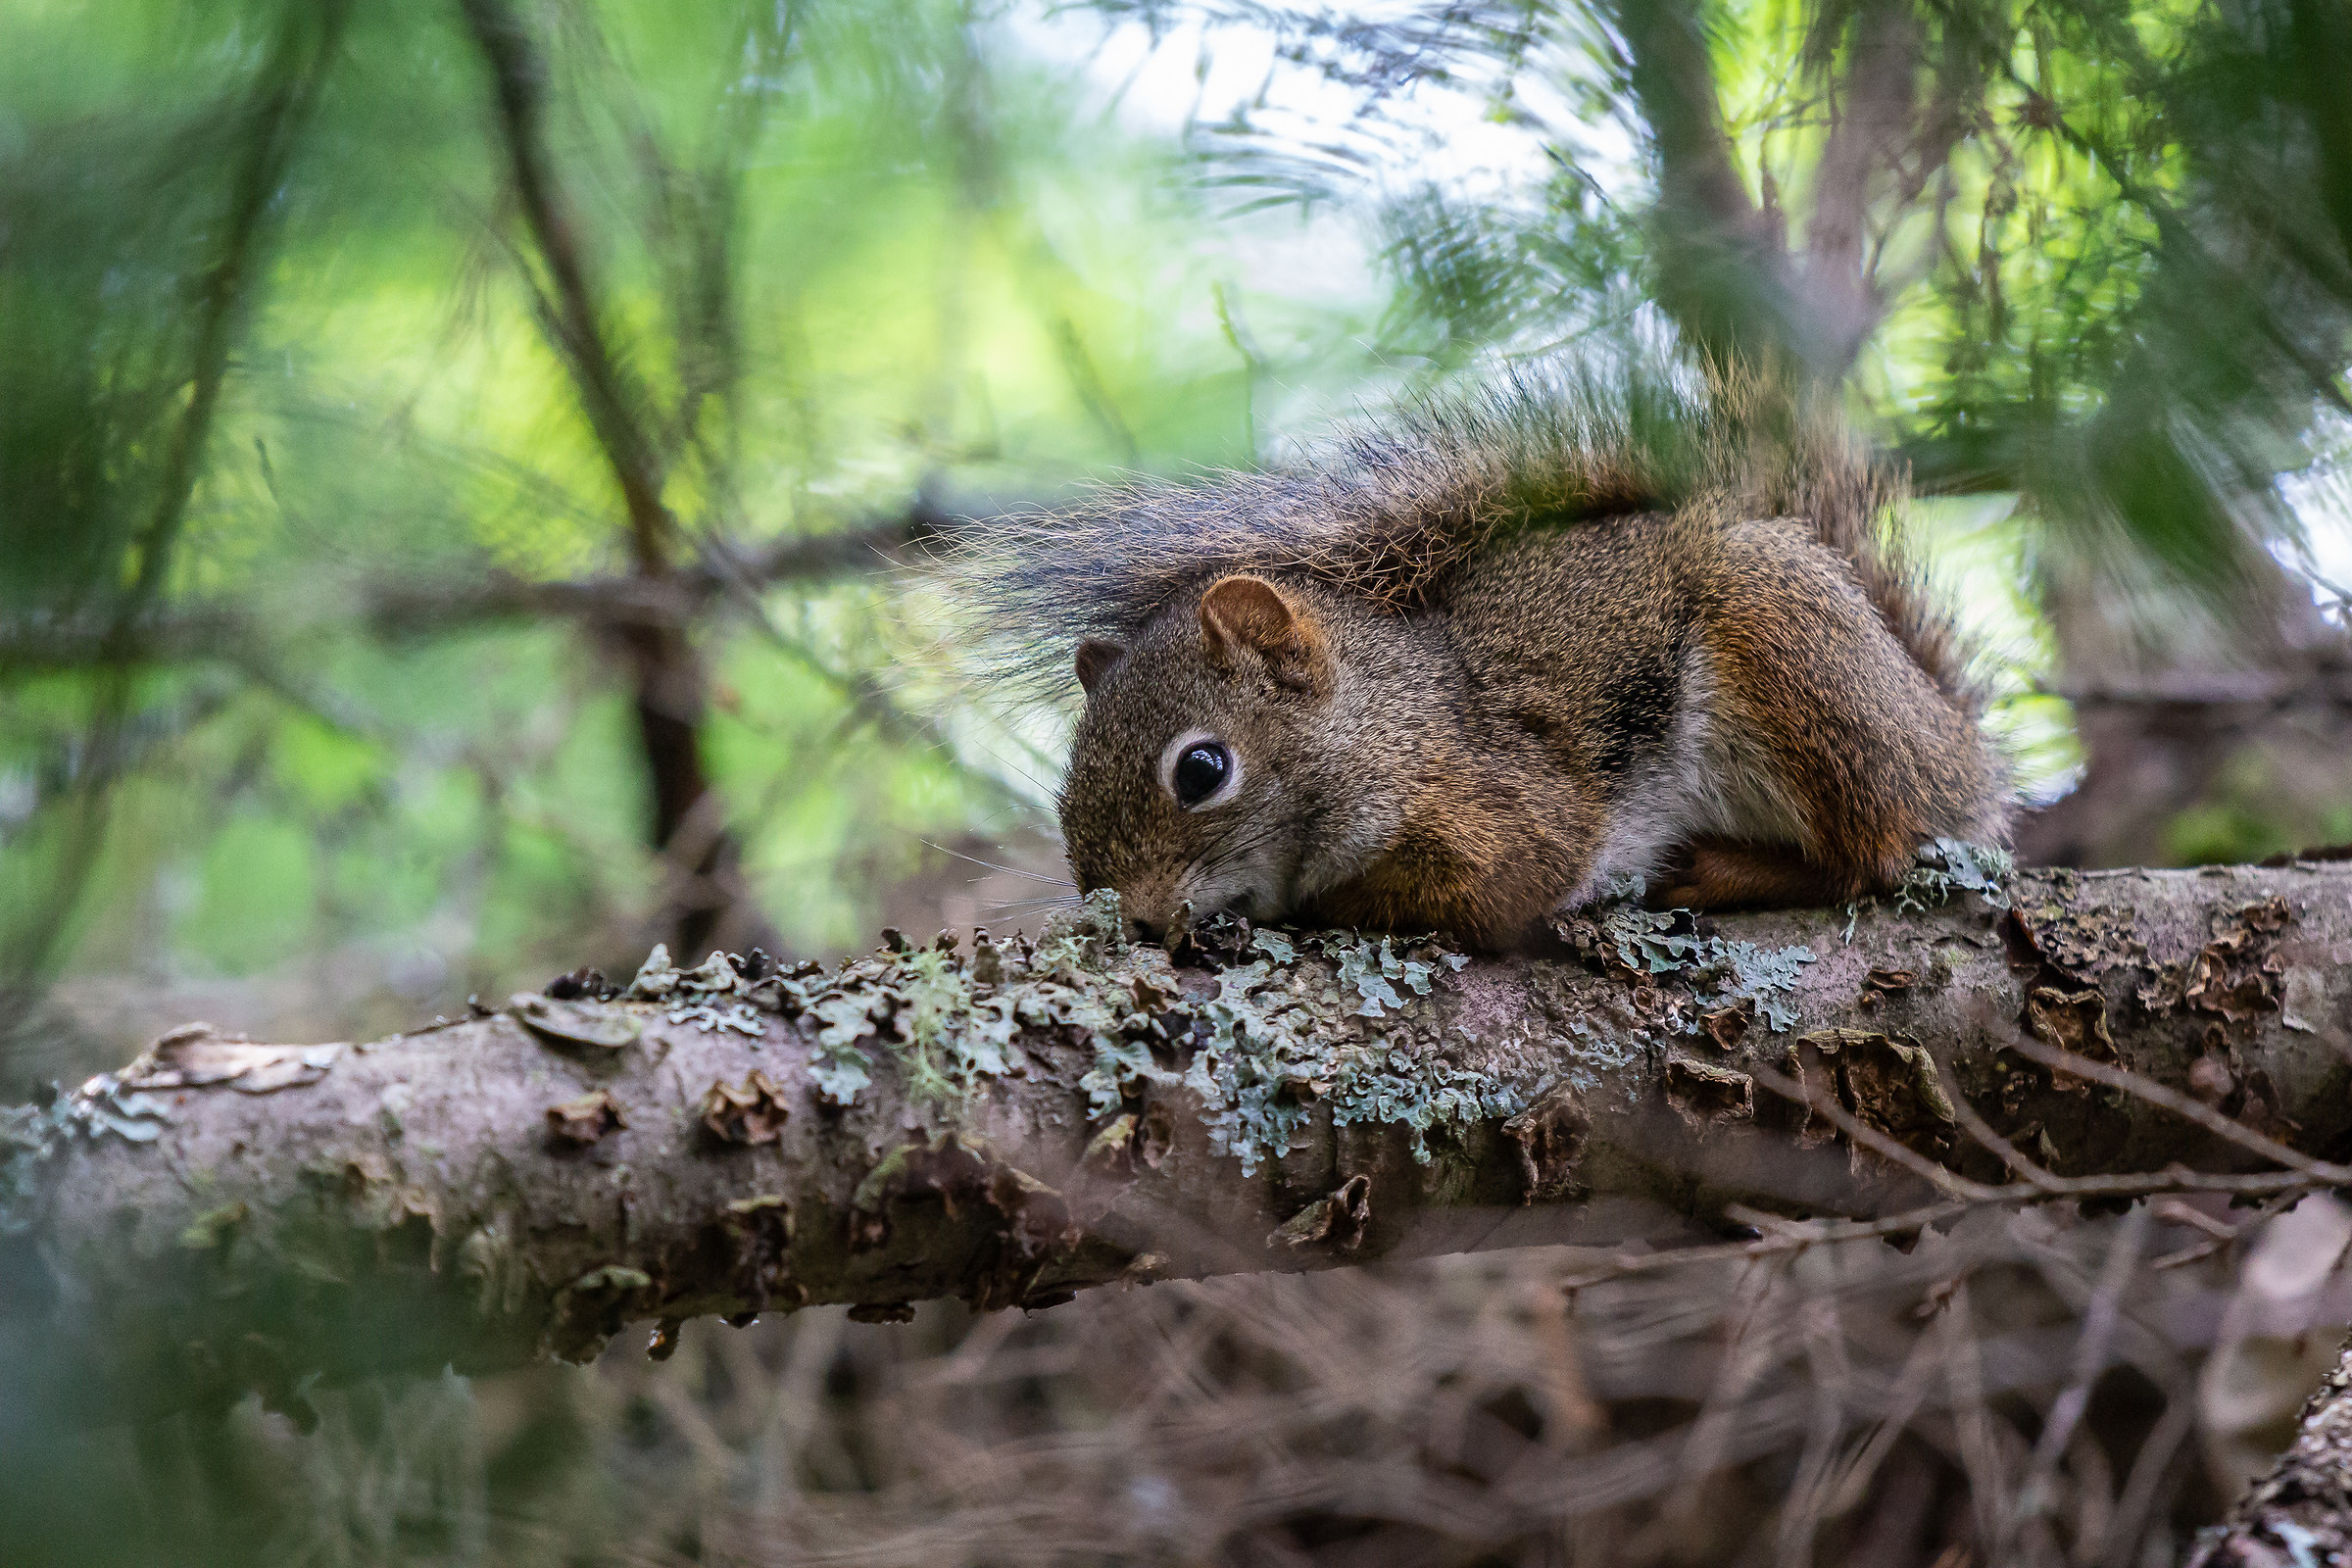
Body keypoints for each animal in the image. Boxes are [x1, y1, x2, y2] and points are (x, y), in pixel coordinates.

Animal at [948, 368, 2009, 950]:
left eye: (1201, 769)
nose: (1133, 919)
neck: (1390, 723)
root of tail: (1955, 740)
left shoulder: (1506, 811)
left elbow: (1488, 886)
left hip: (1791, 657)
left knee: (1871, 854)